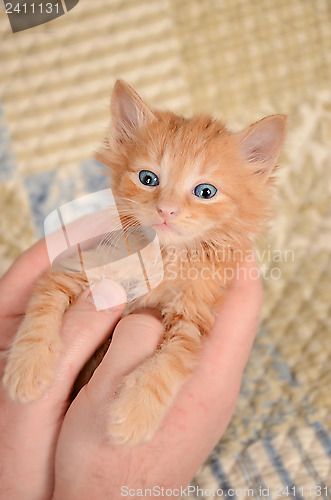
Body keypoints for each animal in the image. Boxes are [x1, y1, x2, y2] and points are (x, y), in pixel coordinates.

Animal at [2, 82, 286, 446]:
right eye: (148, 178)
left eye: (205, 191)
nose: (166, 209)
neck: (164, 256)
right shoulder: (81, 266)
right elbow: (42, 305)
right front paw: (28, 368)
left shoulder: (193, 315)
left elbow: (170, 362)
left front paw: (134, 414)